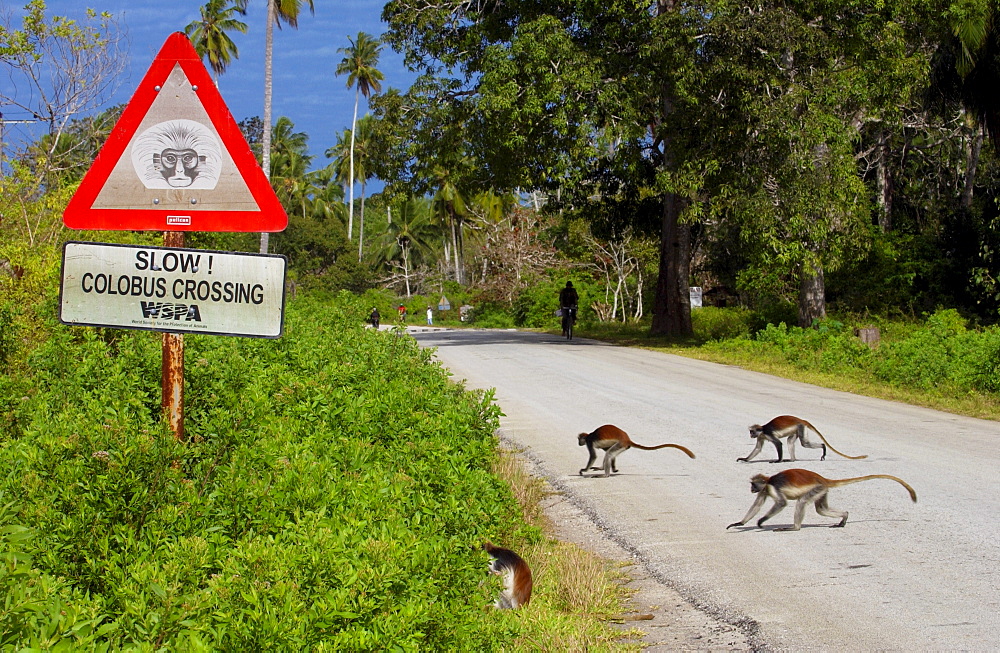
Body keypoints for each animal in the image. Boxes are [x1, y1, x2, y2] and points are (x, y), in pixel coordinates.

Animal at [728, 468, 916, 528]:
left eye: (753, 484)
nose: (751, 488)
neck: (768, 481)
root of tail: (822, 479)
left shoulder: (772, 487)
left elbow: (781, 503)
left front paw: (761, 521)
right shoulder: (765, 490)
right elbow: (757, 504)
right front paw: (740, 523)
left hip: (816, 488)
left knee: (802, 501)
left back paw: (794, 528)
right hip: (822, 490)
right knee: (821, 509)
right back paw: (844, 517)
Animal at [740, 416, 872, 460]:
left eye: (752, 432)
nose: (750, 435)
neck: (762, 429)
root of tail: (801, 420)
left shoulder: (768, 433)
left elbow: (778, 444)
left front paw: (778, 460)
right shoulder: (761, 436)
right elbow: (758, 448)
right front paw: (745, 459)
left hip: (800, 426)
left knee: (804, 443)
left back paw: (823, 447)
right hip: (797, 429)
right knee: (790, 441)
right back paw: (792, 460)